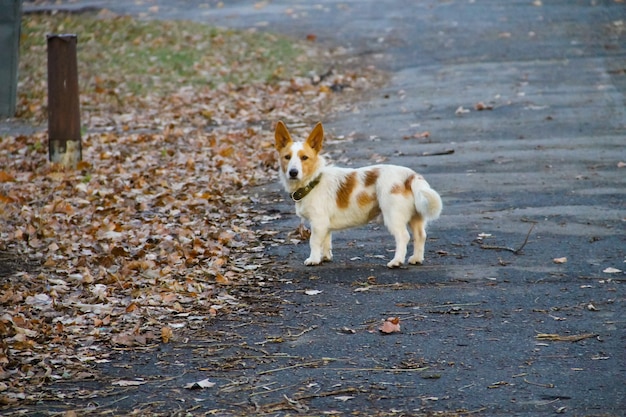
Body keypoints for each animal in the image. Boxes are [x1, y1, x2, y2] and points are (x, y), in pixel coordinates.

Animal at [276, 120, 442, 268]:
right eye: (287, 157)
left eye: (304, 158)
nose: (293, 172)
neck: (313, 181)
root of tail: (410, 175)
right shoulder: (325, 226)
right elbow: (326, 241)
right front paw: (325, 257)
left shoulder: (318, 223)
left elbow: (314, 242)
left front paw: (314, 259)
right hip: (415, 217)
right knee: (420, 235)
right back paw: (416, 259)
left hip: (393, 216)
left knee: (403, 237)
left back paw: (396, 261)